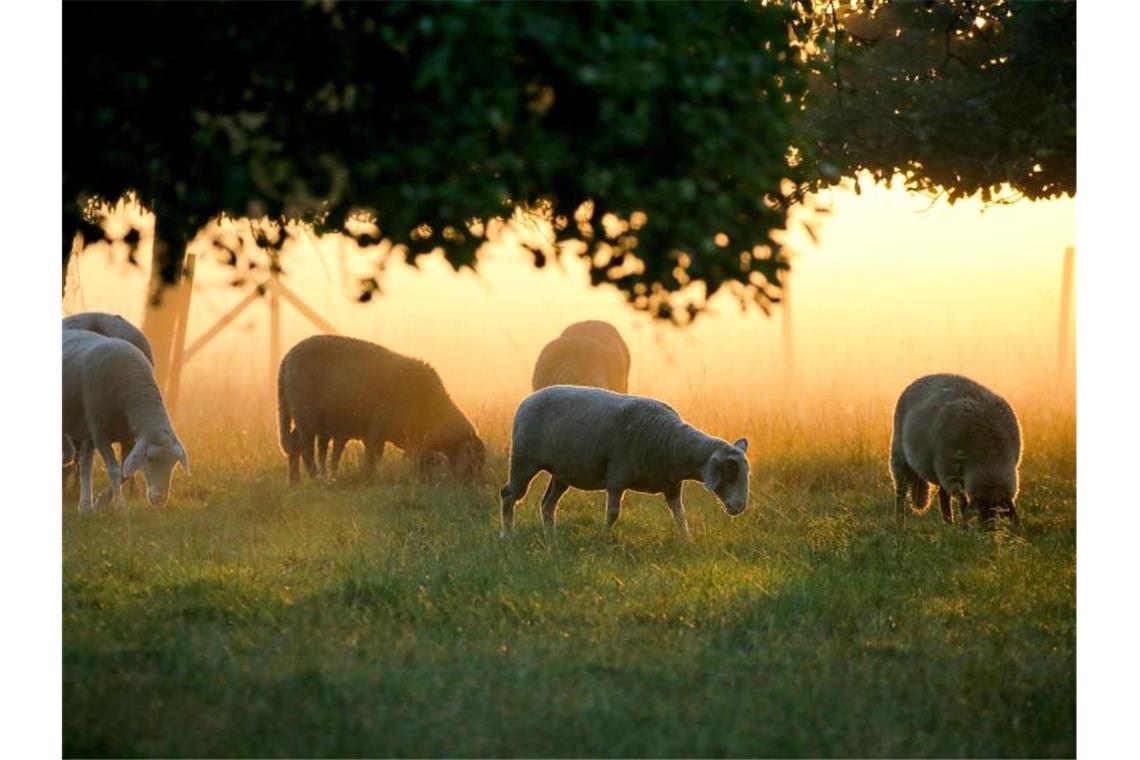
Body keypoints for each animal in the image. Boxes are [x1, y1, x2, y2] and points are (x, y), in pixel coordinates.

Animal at [63, 328, 190, 510]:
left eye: (174, 463)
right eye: (150, 458)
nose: (160, 499)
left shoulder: (127, 437)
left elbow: (125, 471)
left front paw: (101, 501)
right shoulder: (101, 434)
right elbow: (115, 470)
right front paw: (120, 507)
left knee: (84, 464)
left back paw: (85, 506)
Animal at [281, 334, 490, 485]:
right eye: (474, 462)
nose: (477, 485)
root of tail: (287, 358)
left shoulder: (415, 441)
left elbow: (421, 461)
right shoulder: (377, 432)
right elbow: (372, 459)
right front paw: (369, 480)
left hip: (303, 419)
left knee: (295, 445)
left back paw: (294, 481)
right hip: (306, 416)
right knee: (306, 450)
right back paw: (316, 478)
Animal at [499, 387, 747, 540]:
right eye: (730, 473)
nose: (740, 507)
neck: (672, 444)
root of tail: (527, 400)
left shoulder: (672, 488)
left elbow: (680, 515)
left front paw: (688, 541)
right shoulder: (616, 478)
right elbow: (613, 513)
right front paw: (604, 538)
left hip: (562, 472)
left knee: (548, 504)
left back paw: (552, 537)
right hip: (524, 460)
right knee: (508, 495)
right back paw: (508, 534)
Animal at [889, 373, 1026, 528]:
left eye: (1000, 513)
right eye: (981, 511)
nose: (988, 531)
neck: (990, 454)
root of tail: (922, 378)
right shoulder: (950, 473)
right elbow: (963, 503)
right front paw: (965, 527)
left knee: (942, 495)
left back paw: (949, 523)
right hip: (900, 456)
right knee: (900, 492)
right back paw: (900, 521)